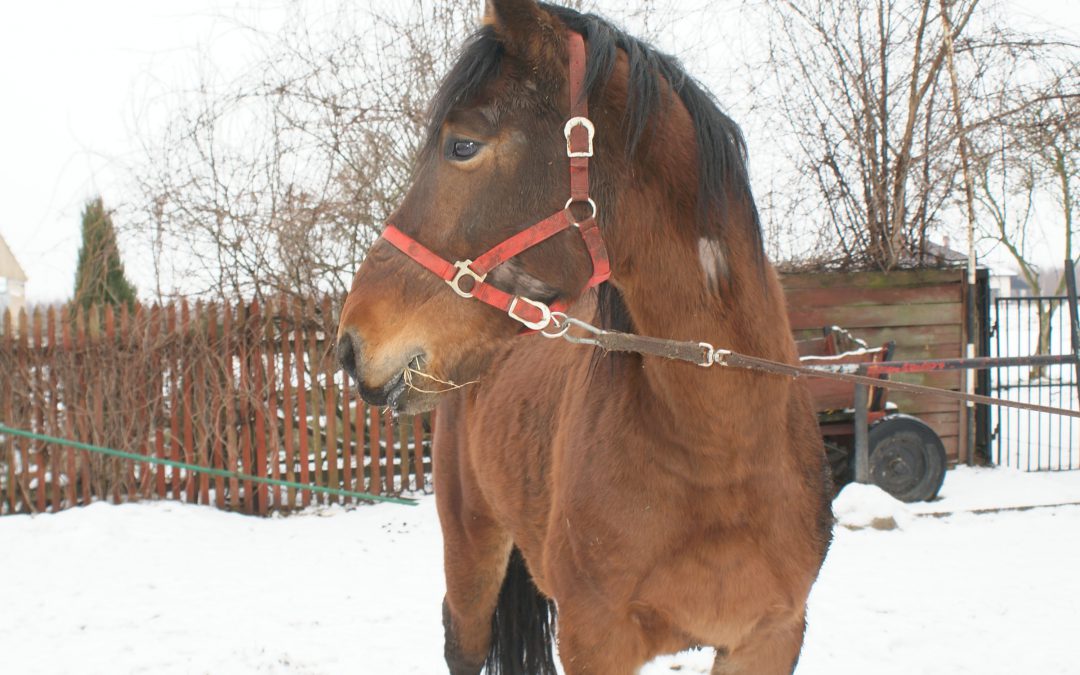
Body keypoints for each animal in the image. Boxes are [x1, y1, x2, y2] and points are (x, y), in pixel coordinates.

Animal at [336, 2, 833, 669]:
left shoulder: (770, 638)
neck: (721, 451)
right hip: (469, 554)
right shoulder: (594, 640)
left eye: (462, 144)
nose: (351, 343)